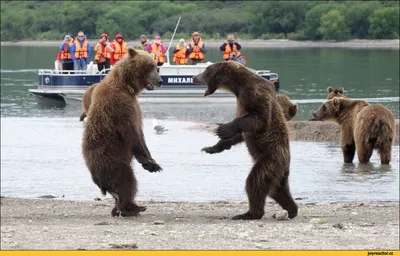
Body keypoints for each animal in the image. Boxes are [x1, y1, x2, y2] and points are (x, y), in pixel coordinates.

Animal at [82, 47, 163, 216]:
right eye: (150, 66)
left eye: (155, 66)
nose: (160, 81)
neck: (127, 86)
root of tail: (97, 180)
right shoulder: (120, 106)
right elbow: (132, 134)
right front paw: (150, 163)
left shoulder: (134, 106)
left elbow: (141, 135)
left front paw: (151, 160)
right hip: (110, 160)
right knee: (127, 180)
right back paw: (132, 207)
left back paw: (118, 208)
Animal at [194, 61, 296, 220]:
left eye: (206, 71)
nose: (194, 77)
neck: (238, 86)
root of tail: (286, 162)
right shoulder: (242, 99)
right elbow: (241, 134)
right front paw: (212, 147)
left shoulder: (254, 93)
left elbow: (260, 119)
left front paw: (224, 128)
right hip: (279, 171)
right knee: (278, 190)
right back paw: (292, 210)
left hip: (270, 158)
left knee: (256, 181)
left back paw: (249, 213)